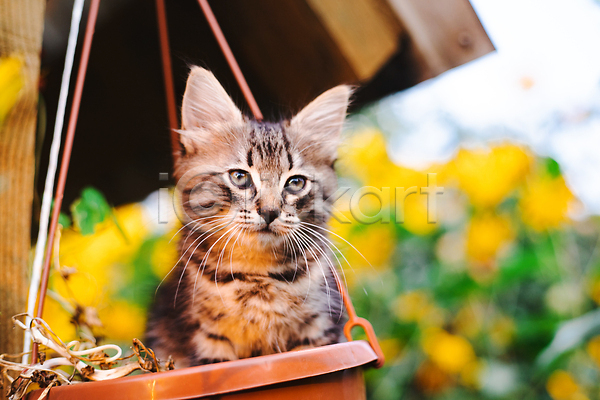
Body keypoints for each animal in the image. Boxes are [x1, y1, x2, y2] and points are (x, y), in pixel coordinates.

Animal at [146, 67, 352, 368]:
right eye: (240, 177)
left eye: (295, 183)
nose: (269, 211)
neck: (258, 272)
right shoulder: (207, 340)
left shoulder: (320, 328)